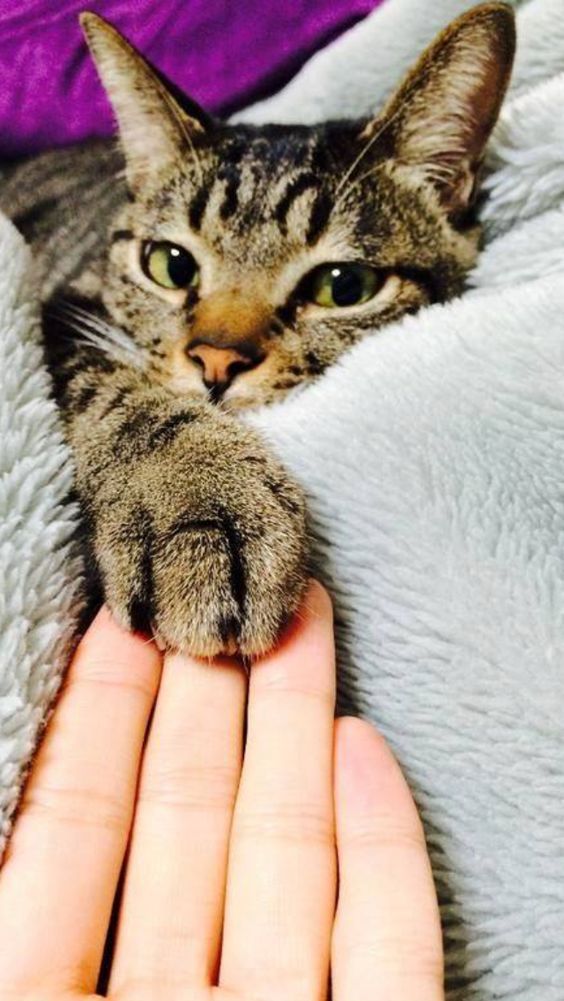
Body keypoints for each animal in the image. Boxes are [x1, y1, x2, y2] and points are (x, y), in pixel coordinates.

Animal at [0, 5, 516, 656]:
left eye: (343, 286)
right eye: (170, 264)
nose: (217, 361)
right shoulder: (56, 308)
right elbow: (122, 396)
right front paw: (195, 498)